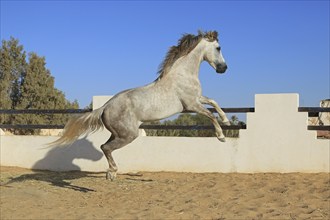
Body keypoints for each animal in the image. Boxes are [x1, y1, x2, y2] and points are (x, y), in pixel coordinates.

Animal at [51, 31, 228, 180]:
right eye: (218, 48)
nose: (224, 68)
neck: (182, 75)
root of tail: (105, 107)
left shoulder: (198, 99)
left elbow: (214, 102)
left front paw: (226, 121)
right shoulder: (191, 104)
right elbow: (211, 115)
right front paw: (221, 136)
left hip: (118, 134)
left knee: (104, 146)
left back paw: (111, 173)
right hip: (129, 135)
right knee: (105, 147)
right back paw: (112, 172)